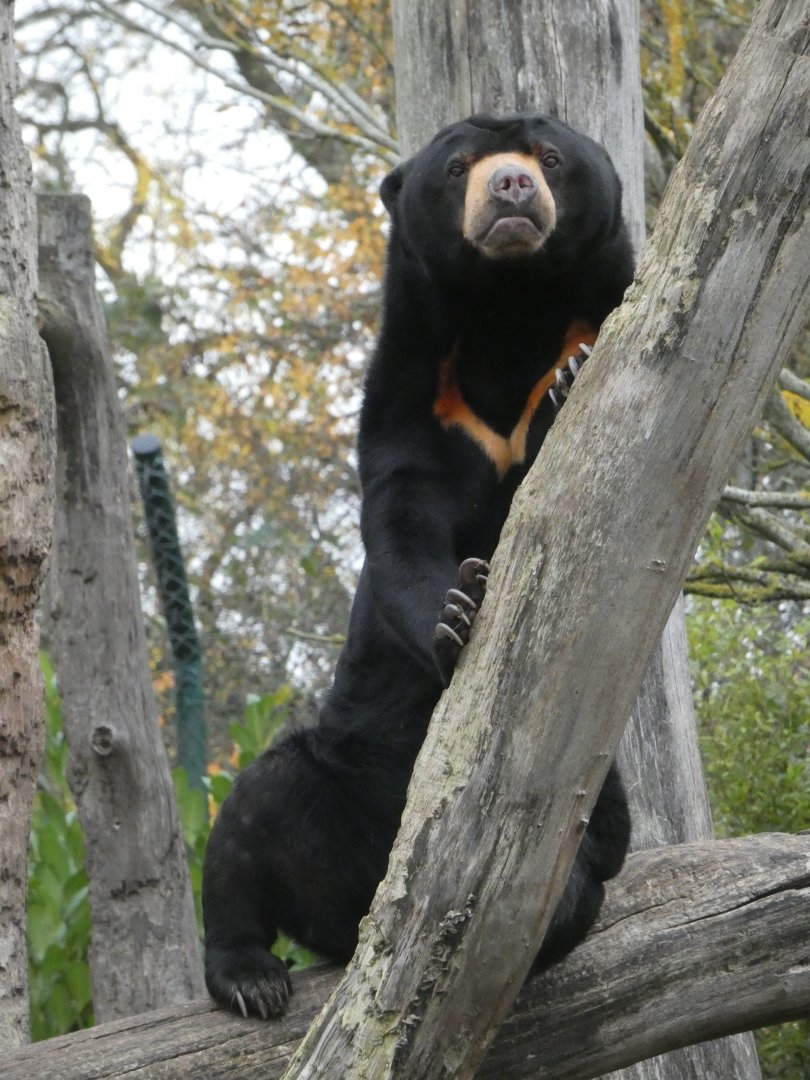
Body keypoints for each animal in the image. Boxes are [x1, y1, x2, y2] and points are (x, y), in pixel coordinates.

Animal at [202, 112, 635, 1020]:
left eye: (550, 159)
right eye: (462, 165)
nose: (511, 187)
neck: (508, 310)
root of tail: (362, 914)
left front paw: (570, 382)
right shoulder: (410, 391)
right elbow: (402, 519)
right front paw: (457, 611)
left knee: (582, 873)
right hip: (329, 776)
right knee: (249, 822)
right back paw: (252, 977)